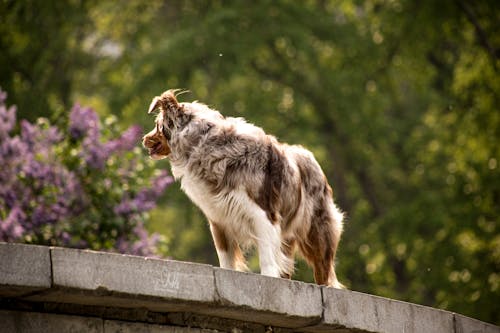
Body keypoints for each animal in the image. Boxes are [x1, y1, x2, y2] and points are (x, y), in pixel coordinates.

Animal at [142, 89, 344, 286]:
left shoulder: (263, 214)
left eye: (157, 125)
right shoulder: (218, 219)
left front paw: (269, 278)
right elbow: (225, 257)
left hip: (316, 231)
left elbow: (266, 255)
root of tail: (311, 157)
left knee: (323, 269)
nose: (143, 139)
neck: (203, 145)